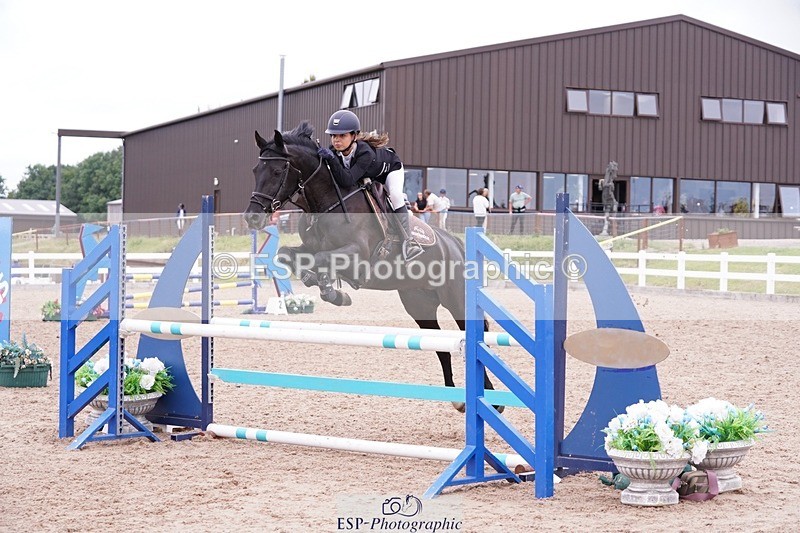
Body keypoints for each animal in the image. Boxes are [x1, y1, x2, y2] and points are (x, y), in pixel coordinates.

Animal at [243, 122, 500, 411]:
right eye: (255, 170)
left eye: (278, 171)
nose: (252, 218)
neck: (326, 202)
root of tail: (455, 243)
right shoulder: (311, 248)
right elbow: (289, 255)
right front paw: (326, 287)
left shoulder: (358, 254)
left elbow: (323, 259)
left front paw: (332, 291)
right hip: (419, 305)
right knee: (440, 346)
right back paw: (457, 399)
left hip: (456, 300)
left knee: (474, 337)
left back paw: (493, 400)